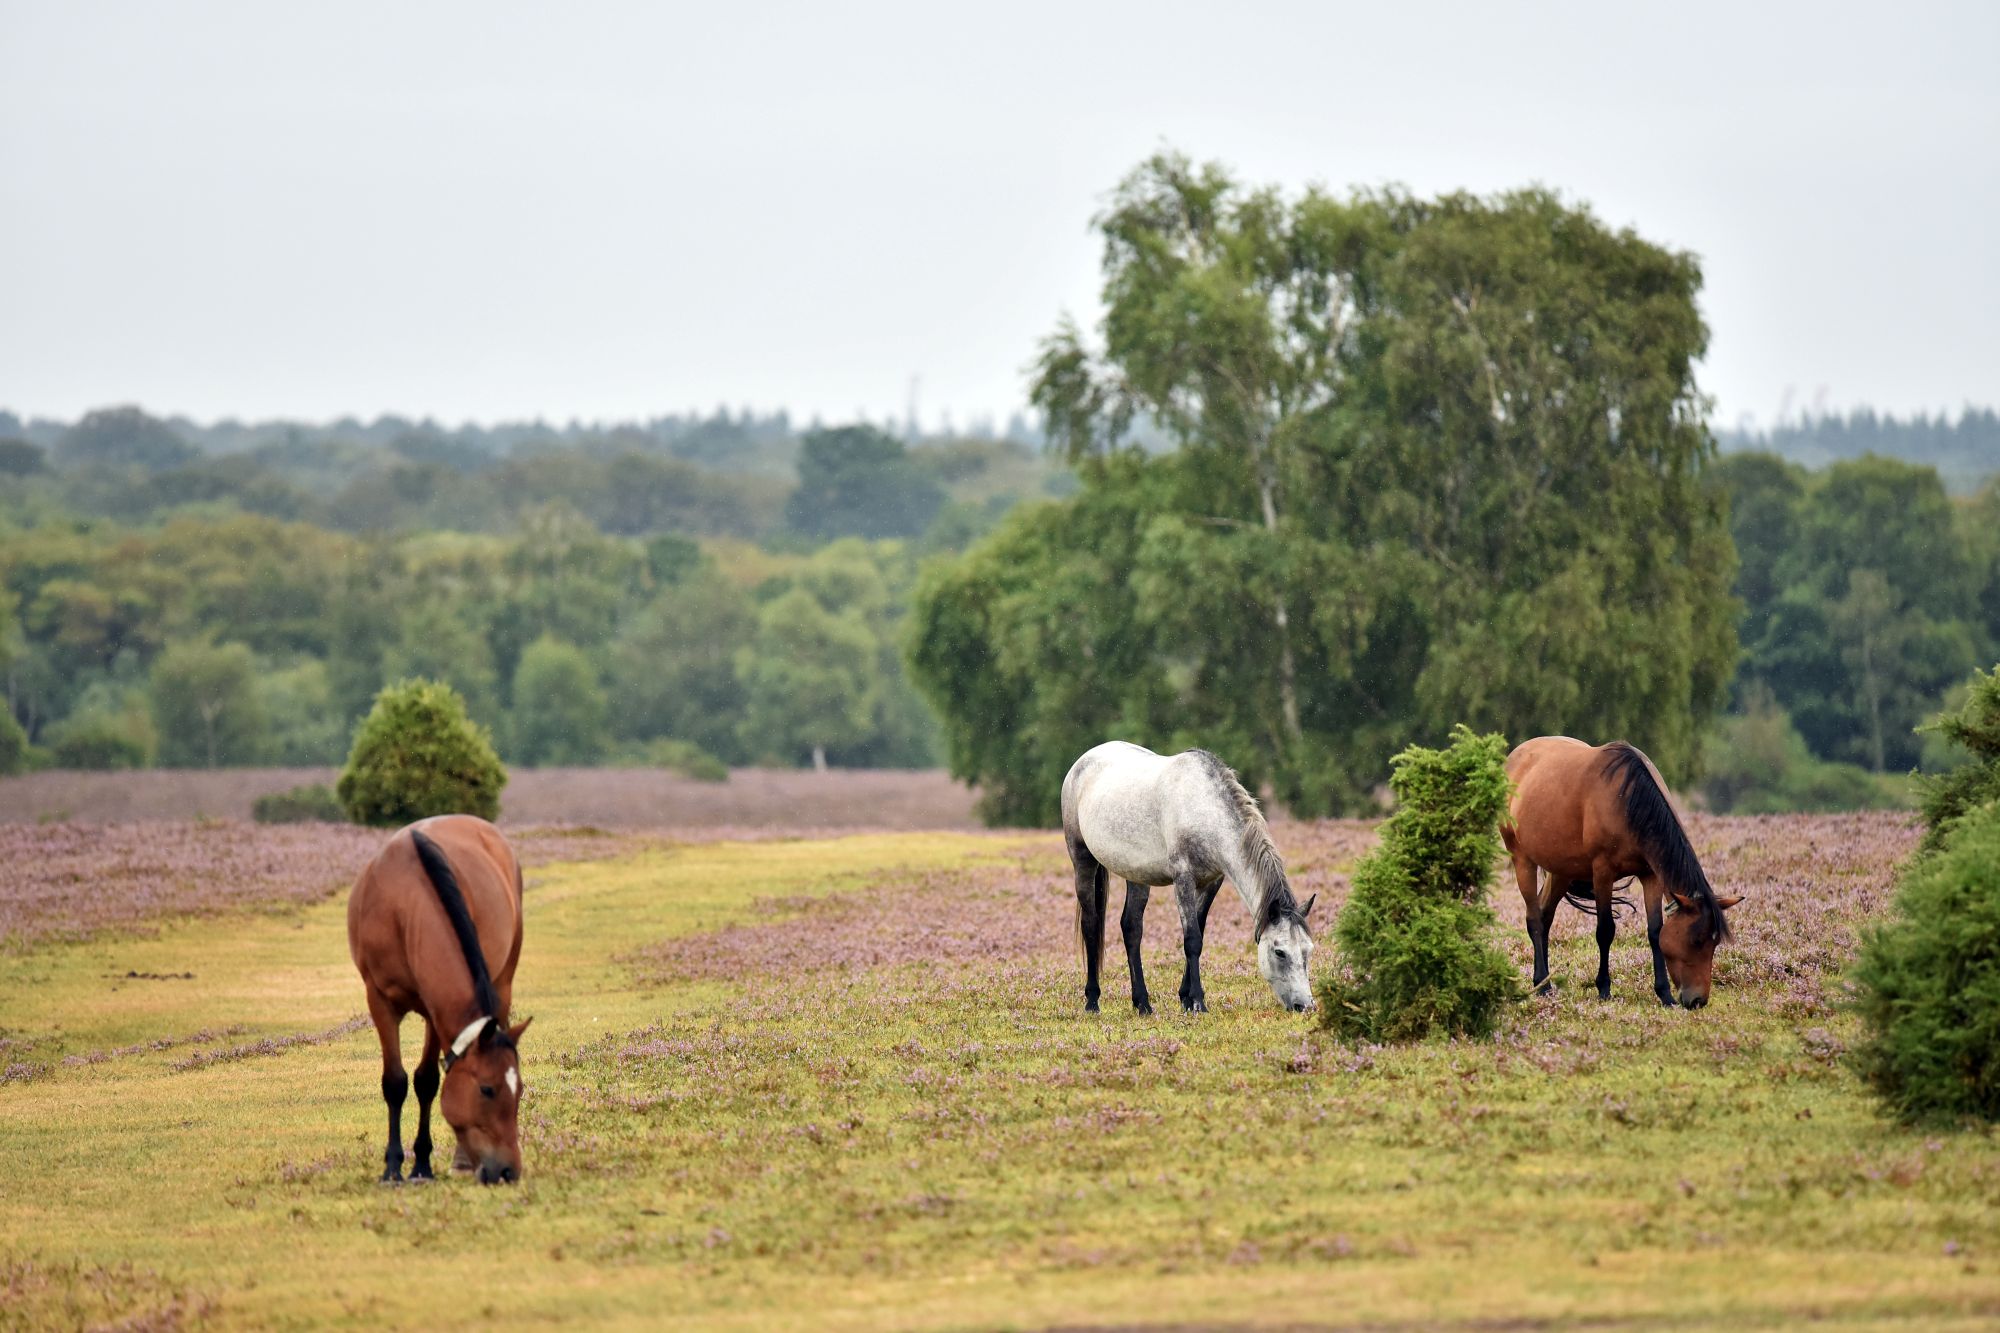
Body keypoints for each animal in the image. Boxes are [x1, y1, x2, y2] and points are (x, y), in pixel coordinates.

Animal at [347, 815, 530, 1184]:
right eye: (486, 1089)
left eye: (519, 1091)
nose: (508, 1171)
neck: (404, 905)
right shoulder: (379, 1001)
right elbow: (395, 1081)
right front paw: (393, 1167)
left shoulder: (433, 1009)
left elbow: (427, 1081)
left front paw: (421, 1164)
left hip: (504, 980)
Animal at [1061, 742, 1316, 1014]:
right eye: (1279, 952)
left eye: (1308, 950)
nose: (1304, 1006)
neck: (1205, 809)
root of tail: (1083, 761)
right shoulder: (1183, 878)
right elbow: (1192, 939)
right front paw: (1197, 1002)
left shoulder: (1212, 881)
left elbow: (1199, 932)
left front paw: (1185, 999)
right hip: (1082, 859)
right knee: (1090, 924)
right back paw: (1092, 1001)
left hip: (1136, 874)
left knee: (1131, 928)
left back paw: (1143, 1004)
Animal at [1501, 736, 1741, 1009]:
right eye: (1696, 940)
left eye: (1715, 943)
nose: (1698, 1000)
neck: (1627, 802)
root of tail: (1515, 757)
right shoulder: (1603, 872)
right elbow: (1605, 930)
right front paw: (1604, 988)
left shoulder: (1650, 876)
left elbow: (1655, 931)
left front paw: (1664, 994)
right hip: (1523, 860)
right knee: (1534, 919)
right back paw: (1542, 984)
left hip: (1562, 869)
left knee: (1544, 914)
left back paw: (1542, 981)